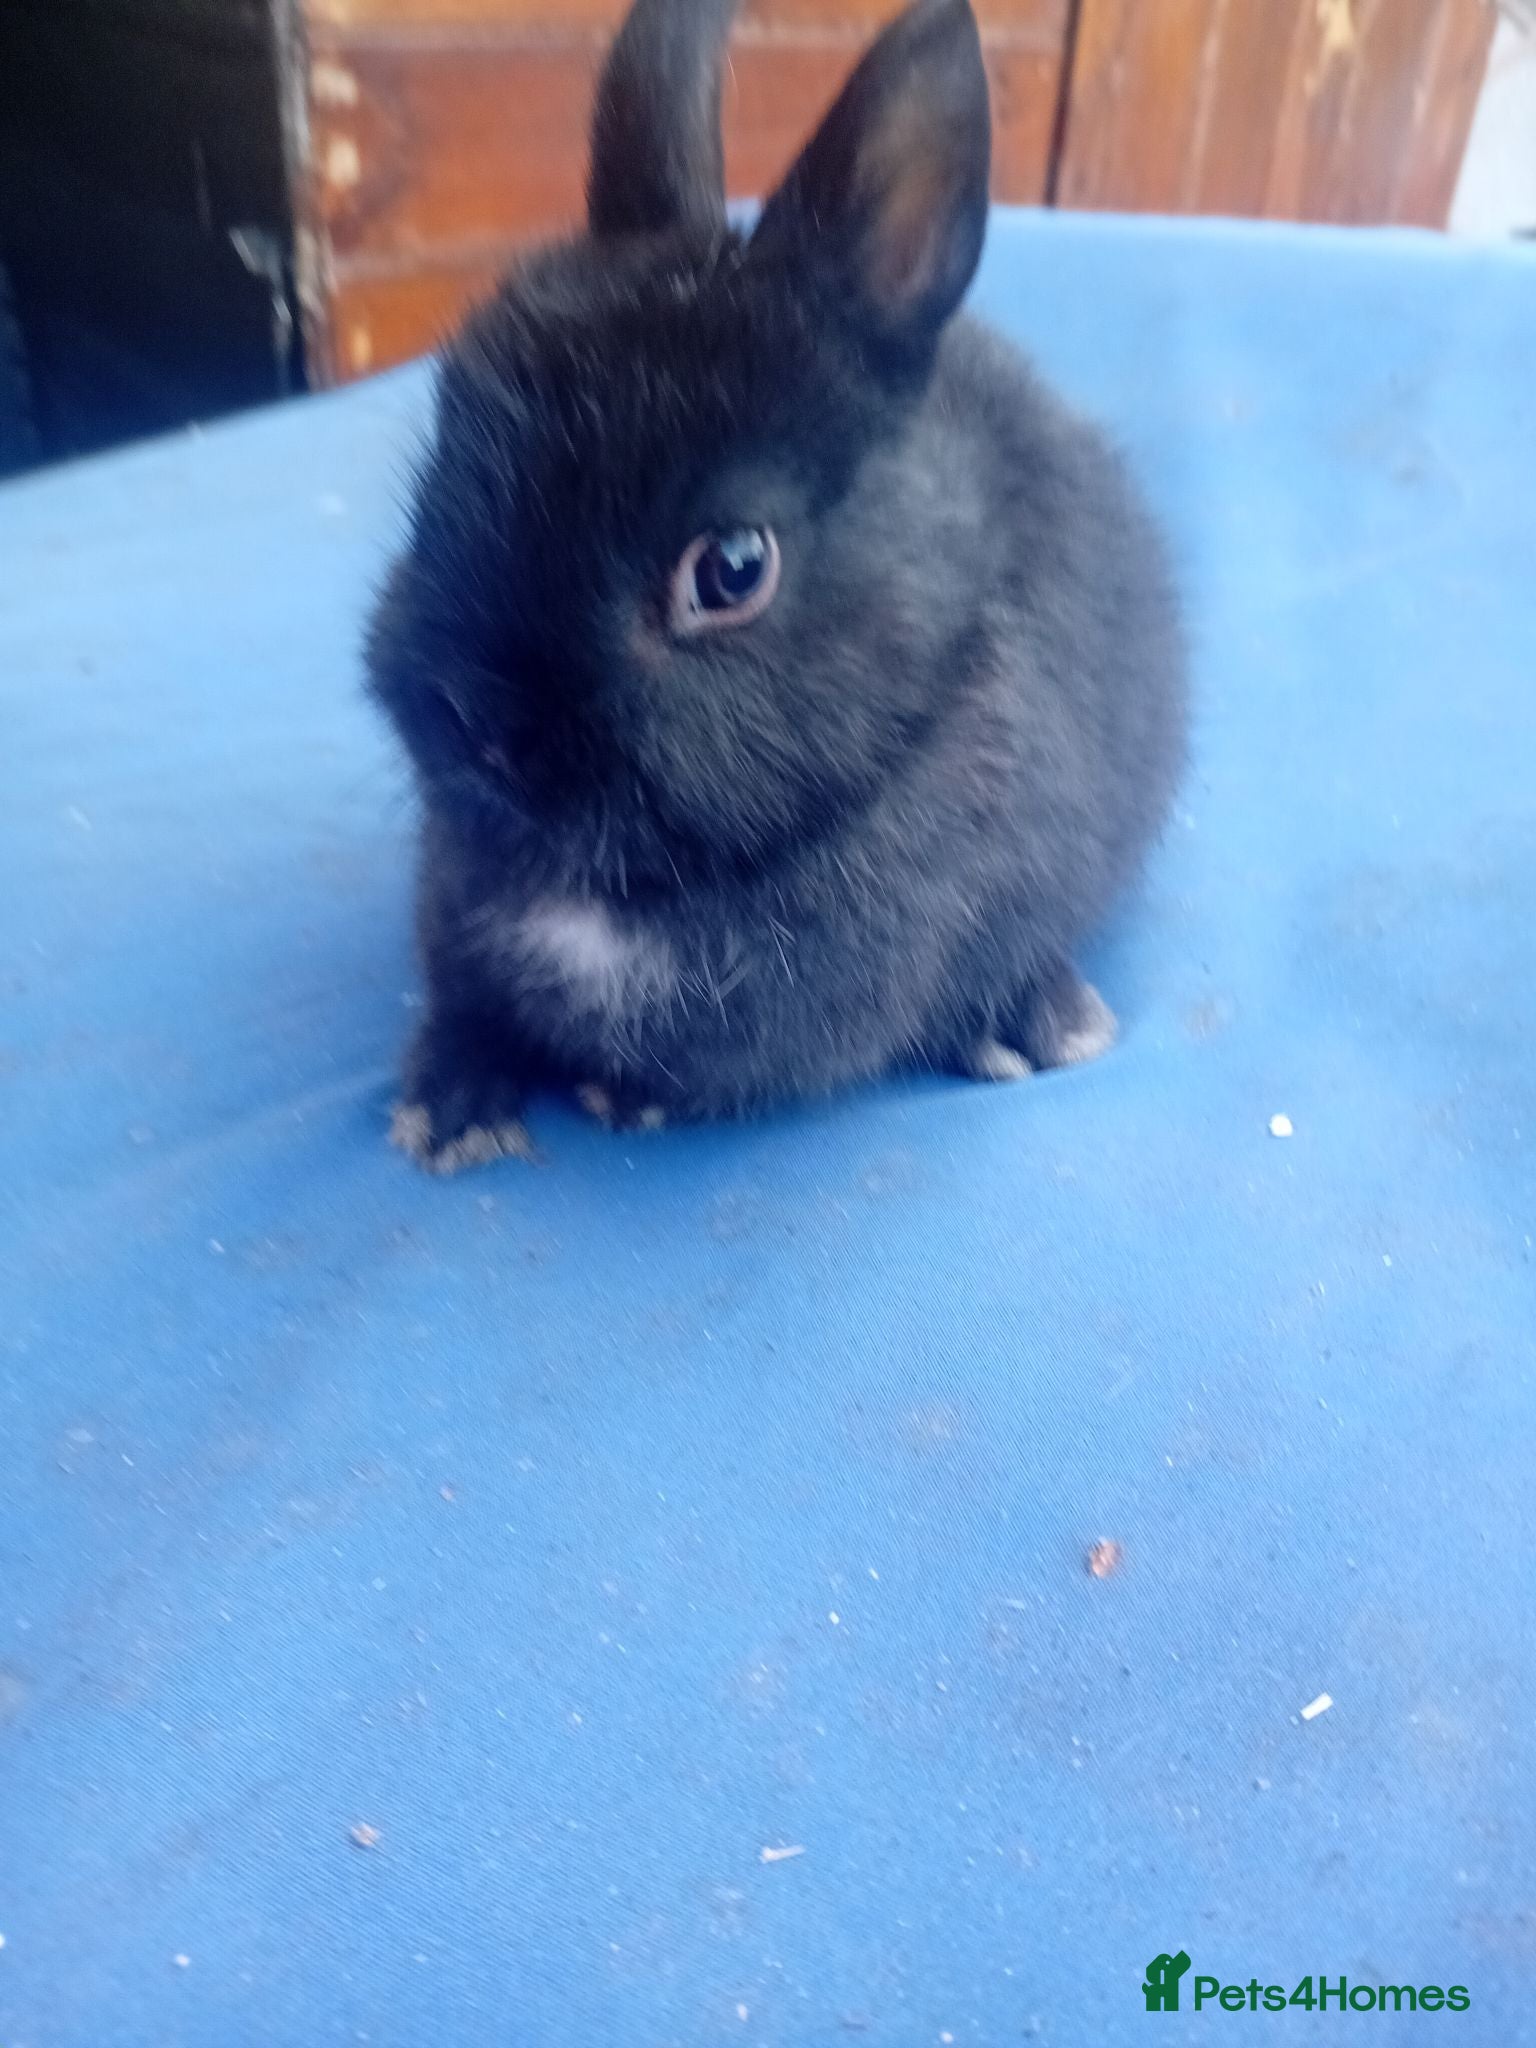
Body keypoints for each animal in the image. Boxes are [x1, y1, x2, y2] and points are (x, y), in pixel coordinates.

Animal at [366, 0, 1186, 1172]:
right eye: (443, 466)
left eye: (733, 570)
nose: (478, 725)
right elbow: (467, 1000)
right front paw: (449, 1110)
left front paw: (627, 1096)